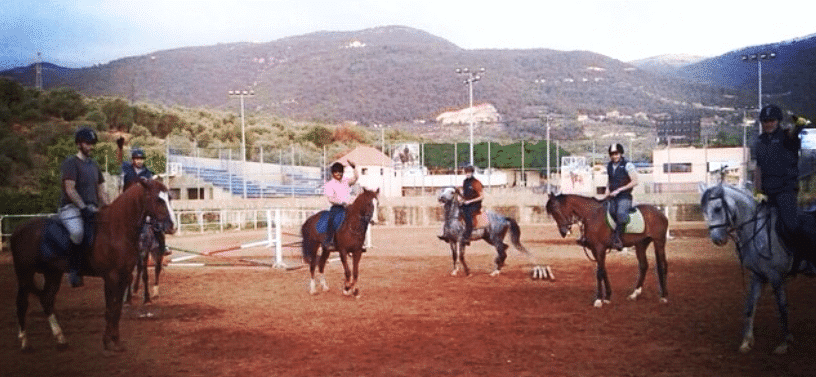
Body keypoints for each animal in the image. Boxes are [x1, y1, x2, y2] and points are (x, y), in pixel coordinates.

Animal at [9, 179, 177, 352]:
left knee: (46, 300)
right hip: (24, 273)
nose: (172, 226)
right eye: (158, 200)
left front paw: (116, 340)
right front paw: (107, 341)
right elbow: (110, 308)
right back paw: (24, 342)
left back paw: (61, 340)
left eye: (169, 198)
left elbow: (117, 308)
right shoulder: (111, 276)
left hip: (52, 273)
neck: (116, 229)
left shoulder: (124, 276)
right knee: (22, 303)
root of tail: (19, 229)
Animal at [540, 192, 668, 306]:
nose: (563, 232)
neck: (591, 215)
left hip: (659, 242)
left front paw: (598, 300)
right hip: (641, 244)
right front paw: (607, 297)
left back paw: (664, 297)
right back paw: (634, 294)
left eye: (556, 209)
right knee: (643, 266)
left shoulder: (600, 248)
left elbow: (599, 272)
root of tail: (660, 213)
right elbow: (603, 270)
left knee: (662, 266)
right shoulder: (595, 250)